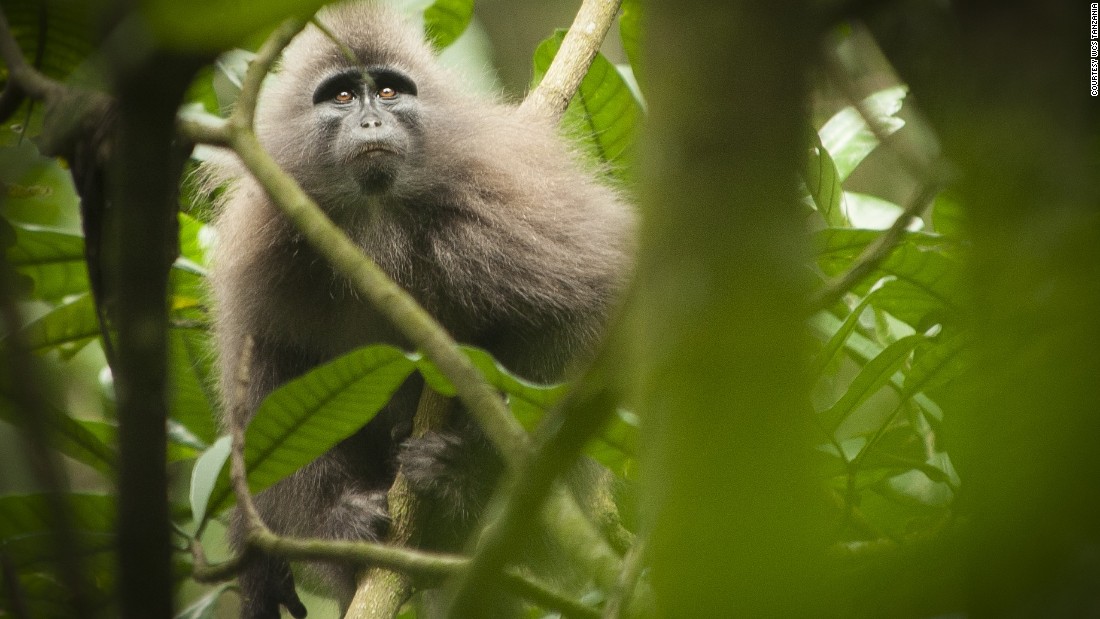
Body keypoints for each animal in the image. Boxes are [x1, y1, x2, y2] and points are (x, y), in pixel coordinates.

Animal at [206, 2, 638, 615]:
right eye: (342, 97)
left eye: (388, 92)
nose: (370, 123)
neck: (375, 218)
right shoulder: (267, 253)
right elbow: (269, 380)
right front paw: (336, 520)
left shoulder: (496, 210)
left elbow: (593, 306)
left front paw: (465, 473)